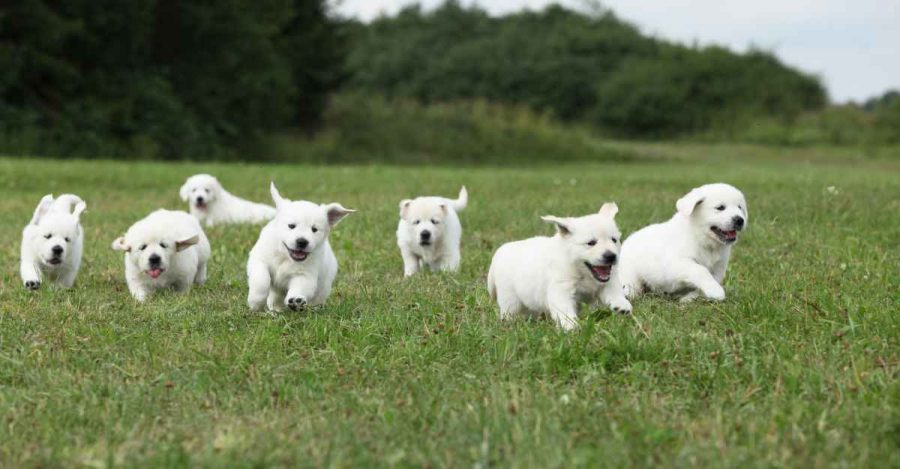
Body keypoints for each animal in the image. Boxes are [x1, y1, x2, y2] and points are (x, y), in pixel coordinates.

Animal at [250, 182, 358, 310]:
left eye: (314, 229)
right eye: (291, 226)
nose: (302, 241)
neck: (285, 257)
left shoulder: (305, 275)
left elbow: (299, 287)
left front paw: (296, 300)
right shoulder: (259, 260)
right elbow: (261, 280)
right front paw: (256, 302)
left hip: (323, 289)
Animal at [488, 203, 628, 330]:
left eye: (614, 240)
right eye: (591, 243)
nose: (611, 256)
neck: (582, 271)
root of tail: (500, 251)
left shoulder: (607, 283)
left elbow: (614, 292)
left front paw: (621, 305)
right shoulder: (561, 290)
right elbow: (564, 311)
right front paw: (572, 327)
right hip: (510, 299)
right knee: (509, 313)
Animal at [620, 181, 752, 302]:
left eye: (740, 207)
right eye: (720, 208)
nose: (740, 220)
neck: (702, 239)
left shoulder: (718, 269)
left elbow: (705, 284)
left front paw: (689, 298)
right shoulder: (676, 264)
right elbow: (700, 270)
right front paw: (715, 291)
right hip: (630, 278)